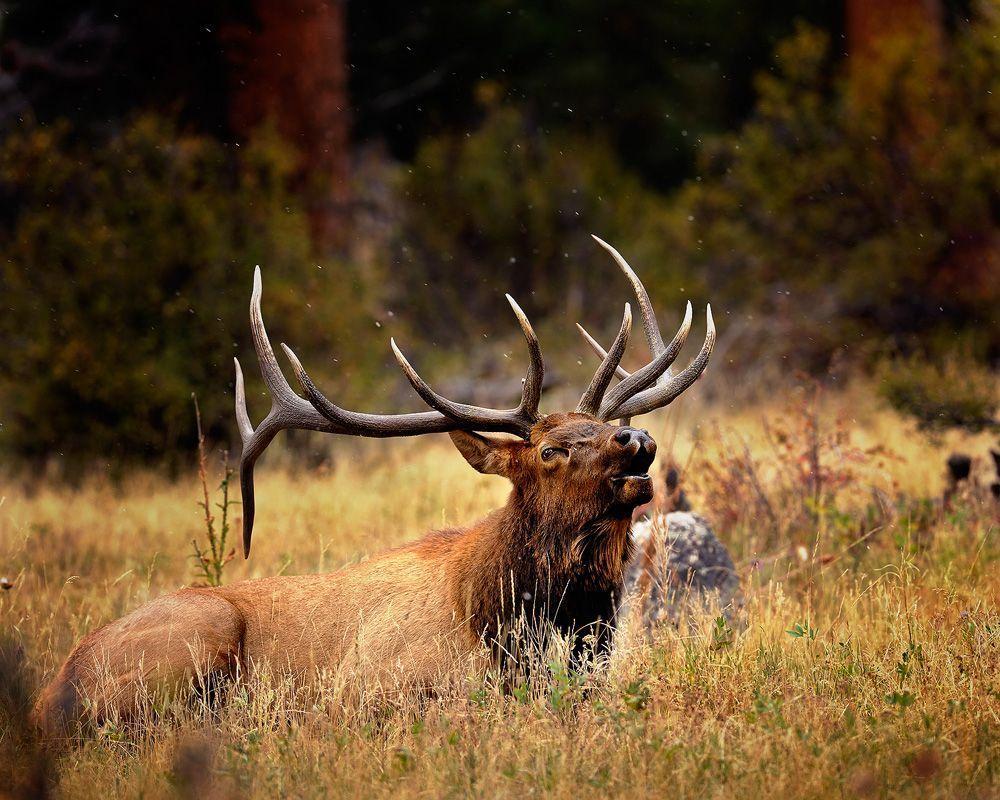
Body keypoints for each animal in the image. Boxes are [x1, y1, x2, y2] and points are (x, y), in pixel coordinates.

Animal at [33, 236, 715, 736]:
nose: (635, 440)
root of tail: (50, 694)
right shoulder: (374, 684)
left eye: (603, 428)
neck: (499, 617)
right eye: (549, 451)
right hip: (196, 641)